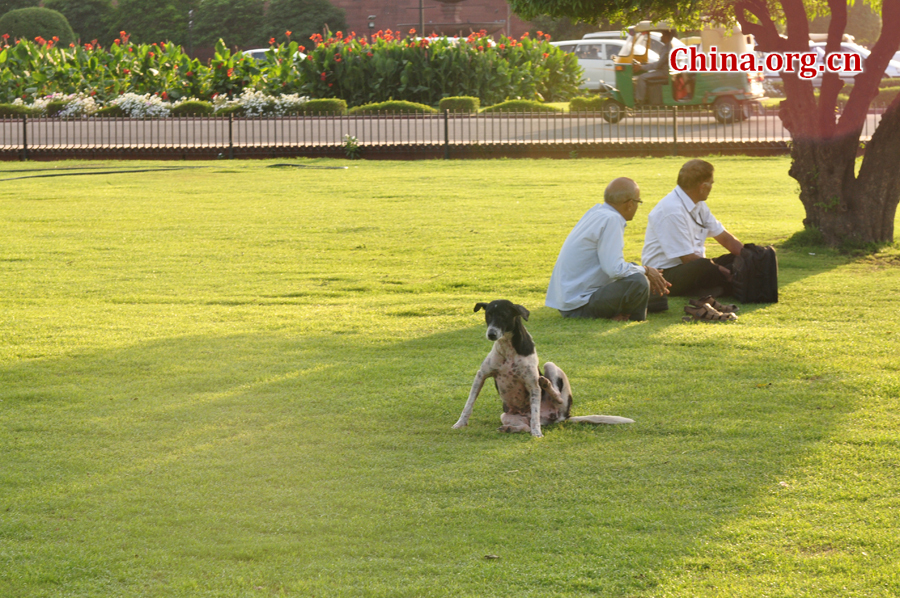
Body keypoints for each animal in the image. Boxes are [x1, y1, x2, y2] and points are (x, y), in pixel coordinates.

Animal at [450, 302, 632, 438]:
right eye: (488, 315)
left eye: (503, 315)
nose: (491, 334)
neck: (508, 349)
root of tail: (563, 418)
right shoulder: (481, 376)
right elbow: (468, 404)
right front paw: (460, 423)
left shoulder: (532, 384)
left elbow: (535, 416)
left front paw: (537, 434)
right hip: (507, 416)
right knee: (526, 426)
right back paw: (510, 428)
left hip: (551, 369)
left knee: (556, 400)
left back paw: (546, 384)